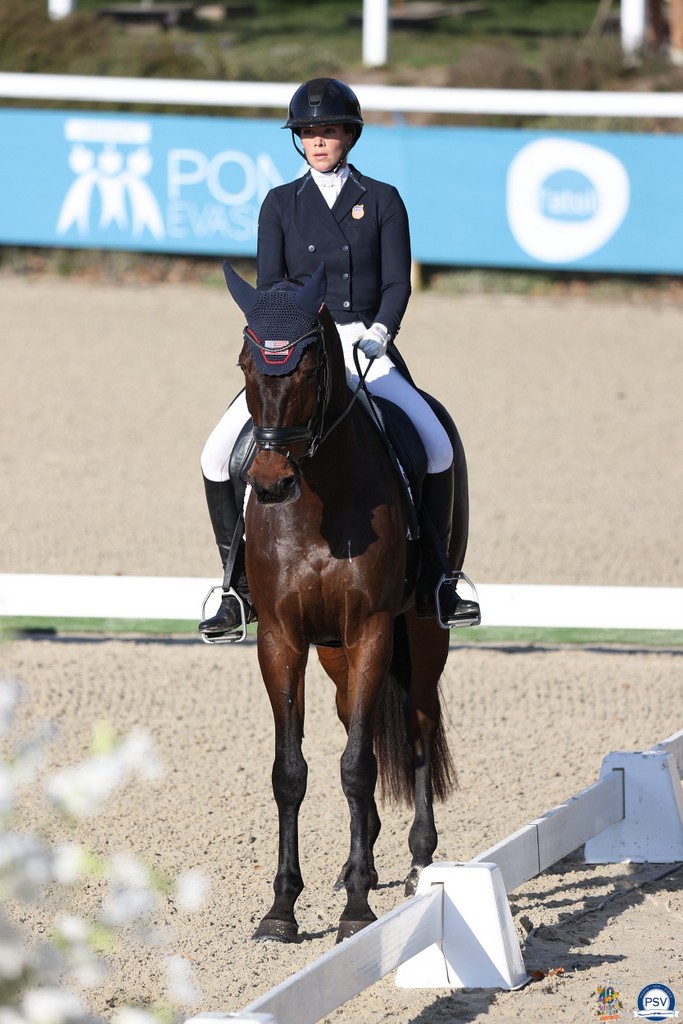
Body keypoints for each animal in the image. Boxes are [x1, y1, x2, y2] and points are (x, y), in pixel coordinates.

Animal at [223, 261, 470, 945]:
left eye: (309, 369)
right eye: (246, 364)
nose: (270, 482)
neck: (319, 506)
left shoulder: (372, 630)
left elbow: (358, 765)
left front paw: (357, 910)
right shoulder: (281, 638)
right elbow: (291, 772)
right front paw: (281, 909)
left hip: (424, 631)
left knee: (418, 725)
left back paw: (418, 863)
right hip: (333, 654)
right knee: (356, 723)